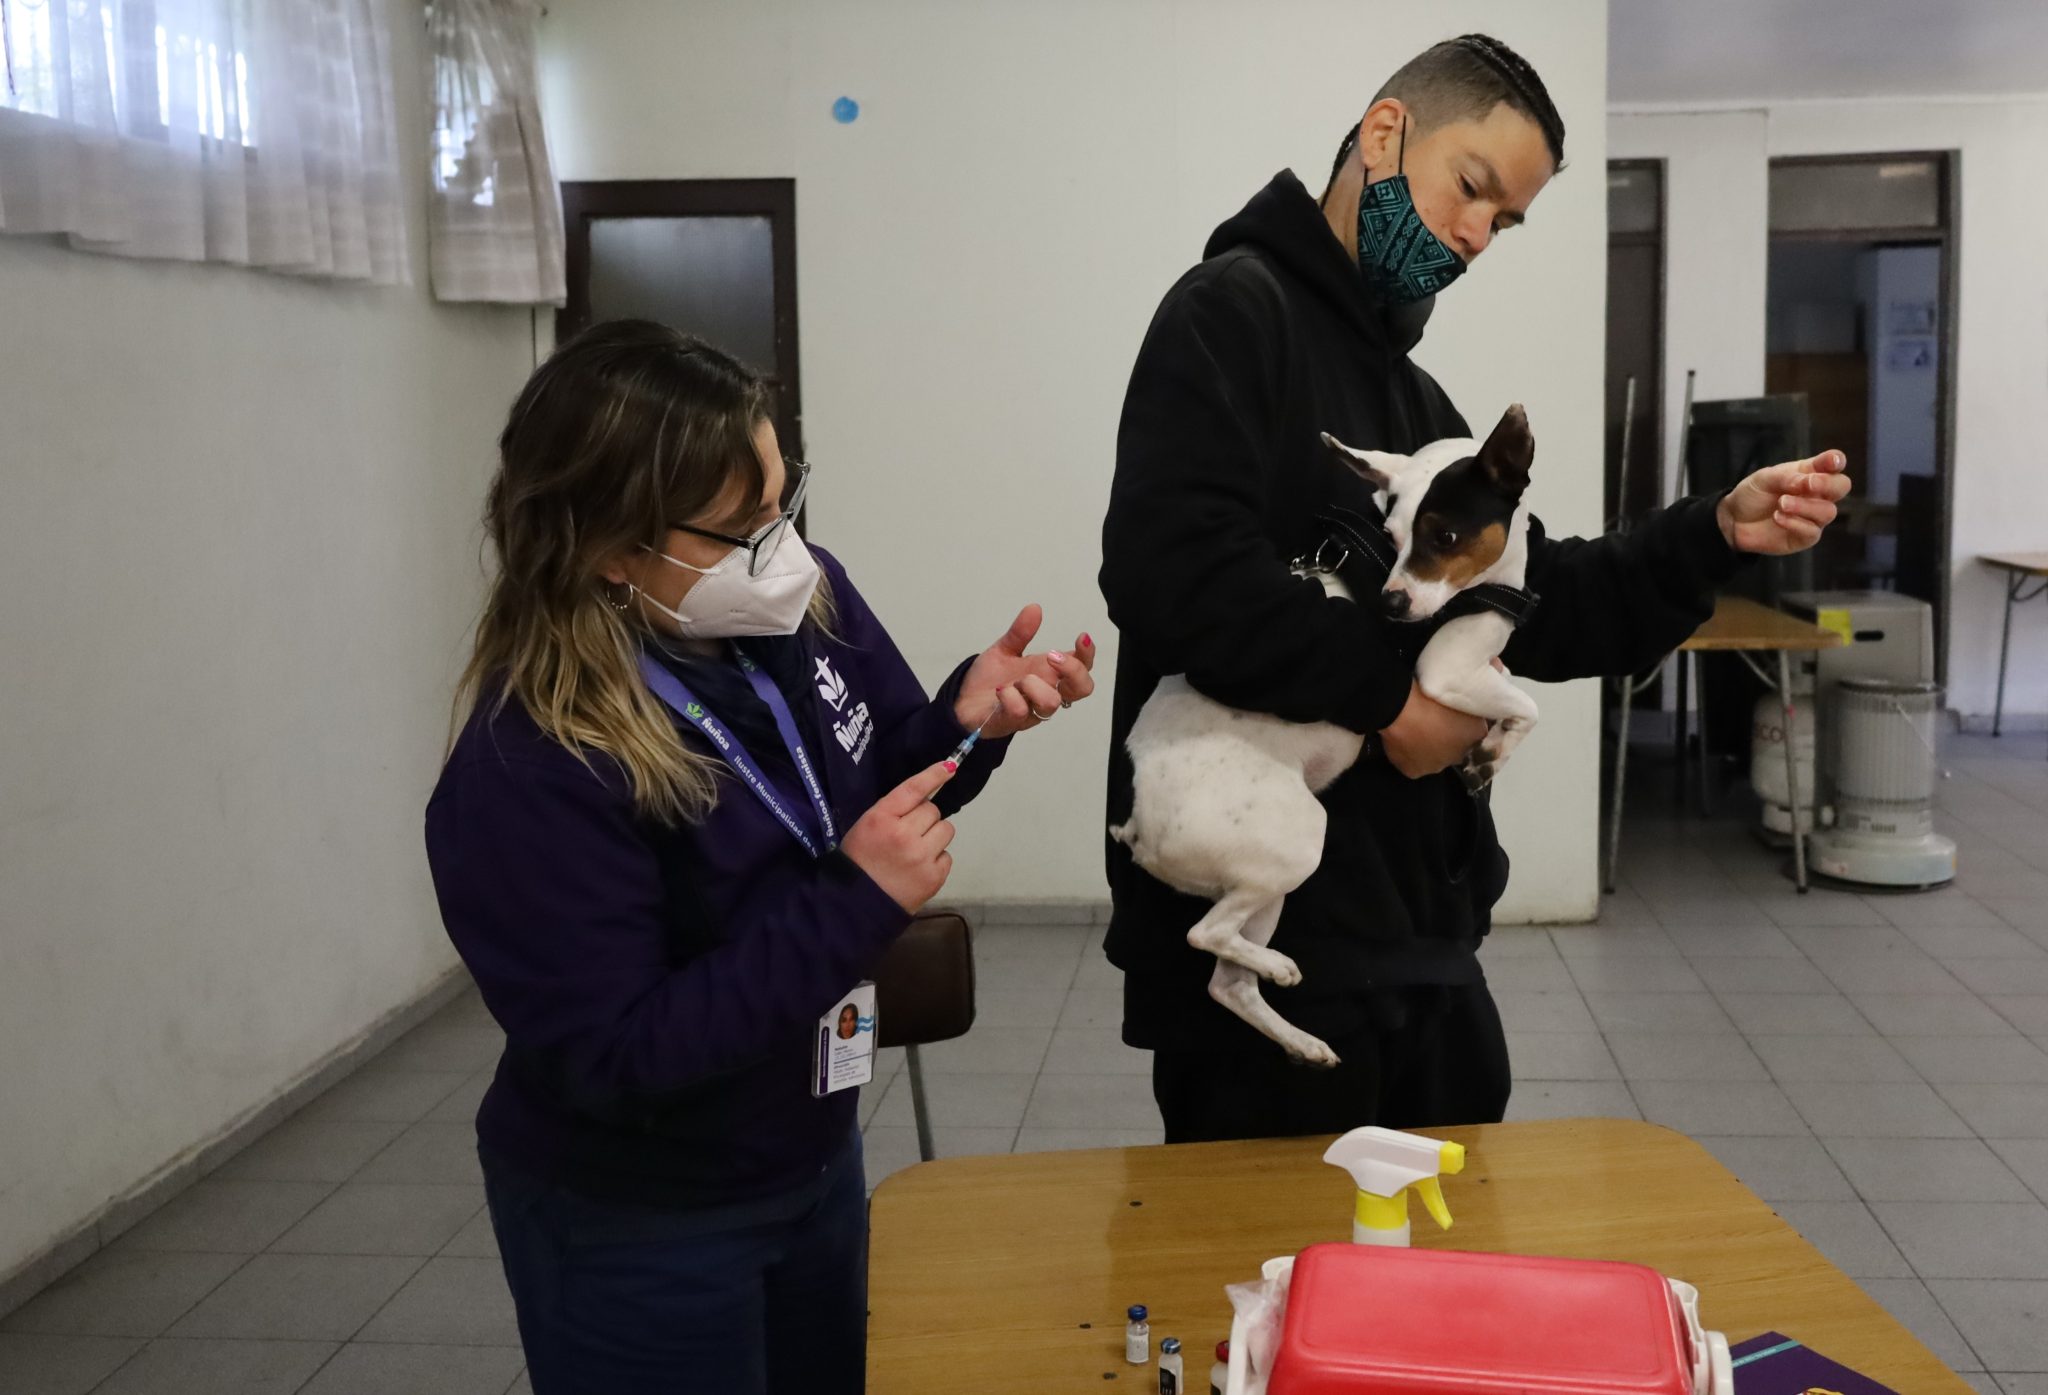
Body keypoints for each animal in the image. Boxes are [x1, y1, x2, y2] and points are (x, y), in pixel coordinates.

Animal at [1114, 403, 1540, 1065]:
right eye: (1391, 538)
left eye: (1443, 537)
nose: (1392, 604)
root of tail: (1140, 825)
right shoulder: (1444, 673)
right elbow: (1528, 706)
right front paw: (1490, 754)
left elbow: (1511, 688)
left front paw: (1488, 747)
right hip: (1295, 843)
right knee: (1203, 933)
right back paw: (1279, 967)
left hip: (1263, 881)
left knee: (1226, 982)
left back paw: (1301, 1039)